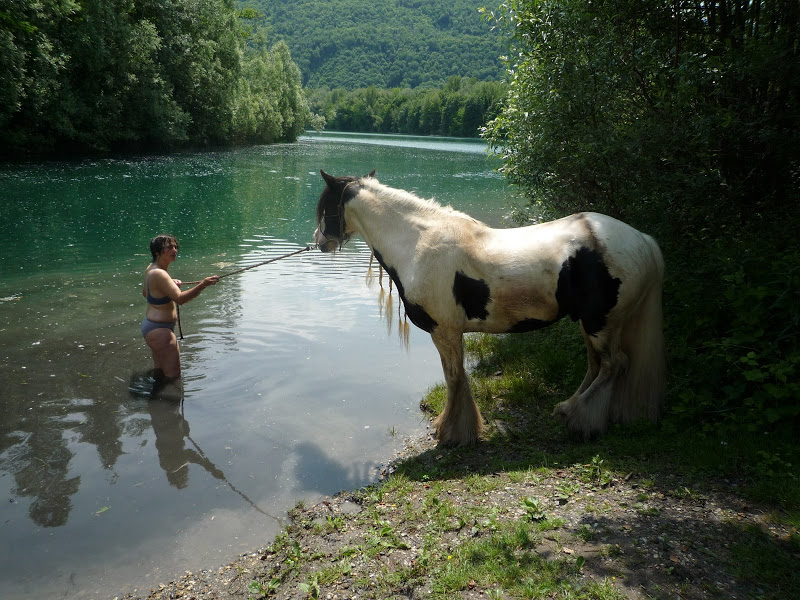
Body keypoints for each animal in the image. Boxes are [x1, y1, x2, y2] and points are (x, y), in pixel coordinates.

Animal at [316, 170, 664, 446]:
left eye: (324, 208)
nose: (319, 241)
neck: (417, 243)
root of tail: (643, 240)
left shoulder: (444, 331)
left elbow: (454, 378)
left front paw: (453, 433)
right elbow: (454, 377)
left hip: (599, 323)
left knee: (613, 364)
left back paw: (582, 421)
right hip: (592, 323)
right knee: (597, 365)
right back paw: (569, 409)